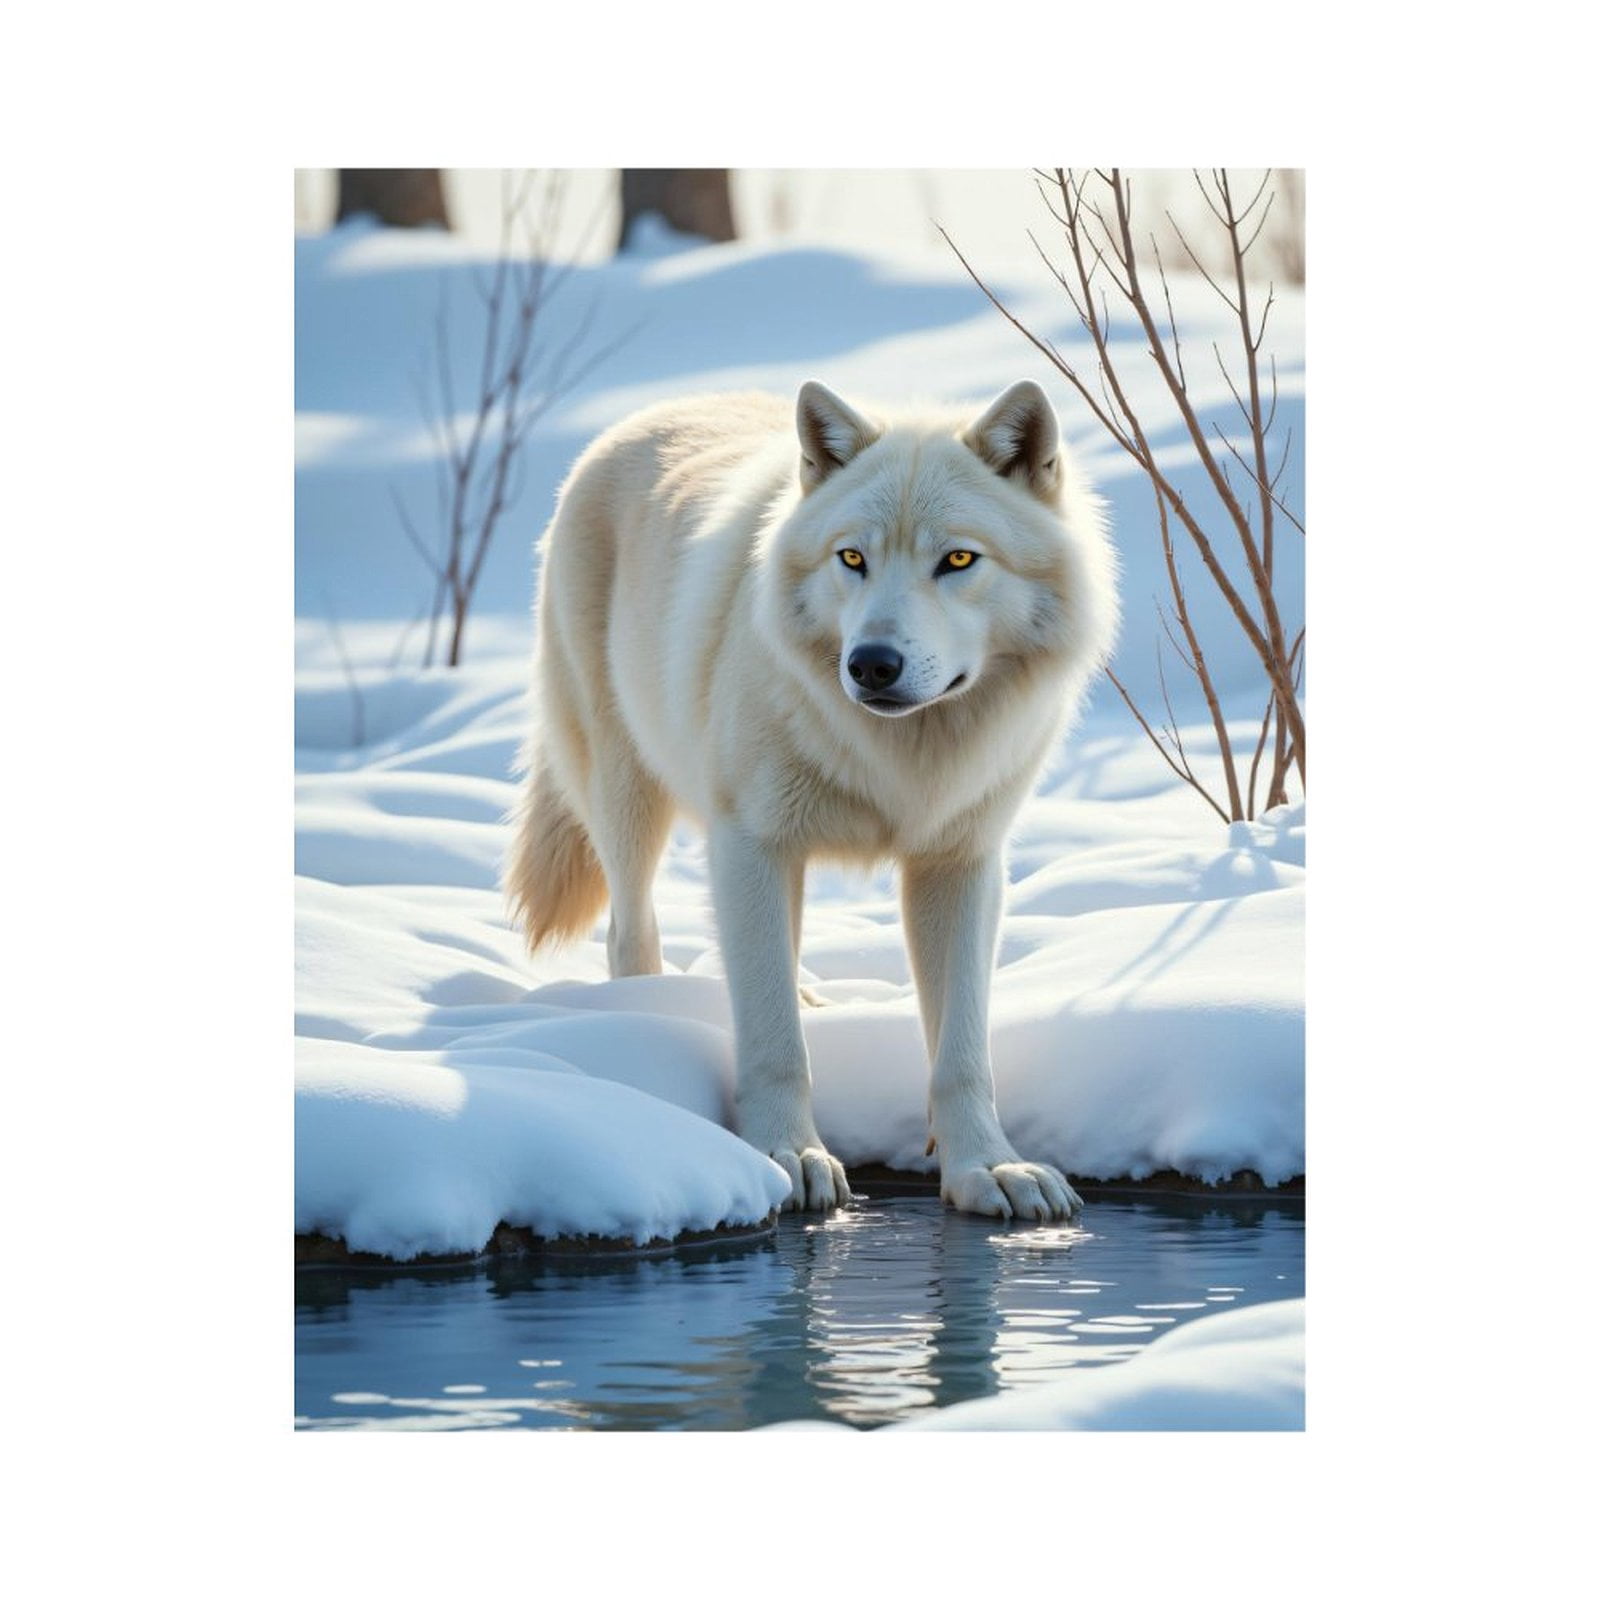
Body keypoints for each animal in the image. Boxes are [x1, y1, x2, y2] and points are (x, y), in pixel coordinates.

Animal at [506, 380, 1117, 1221]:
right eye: (851, 558)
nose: (872, 665)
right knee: (632, 932)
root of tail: (649, 412)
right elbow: (772, 1041)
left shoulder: (960, 863)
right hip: (628, 794)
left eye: (958, 559)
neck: (901, 759)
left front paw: (988, 1168)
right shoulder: (751, 845)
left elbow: (963, 1050)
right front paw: (787, 1157)